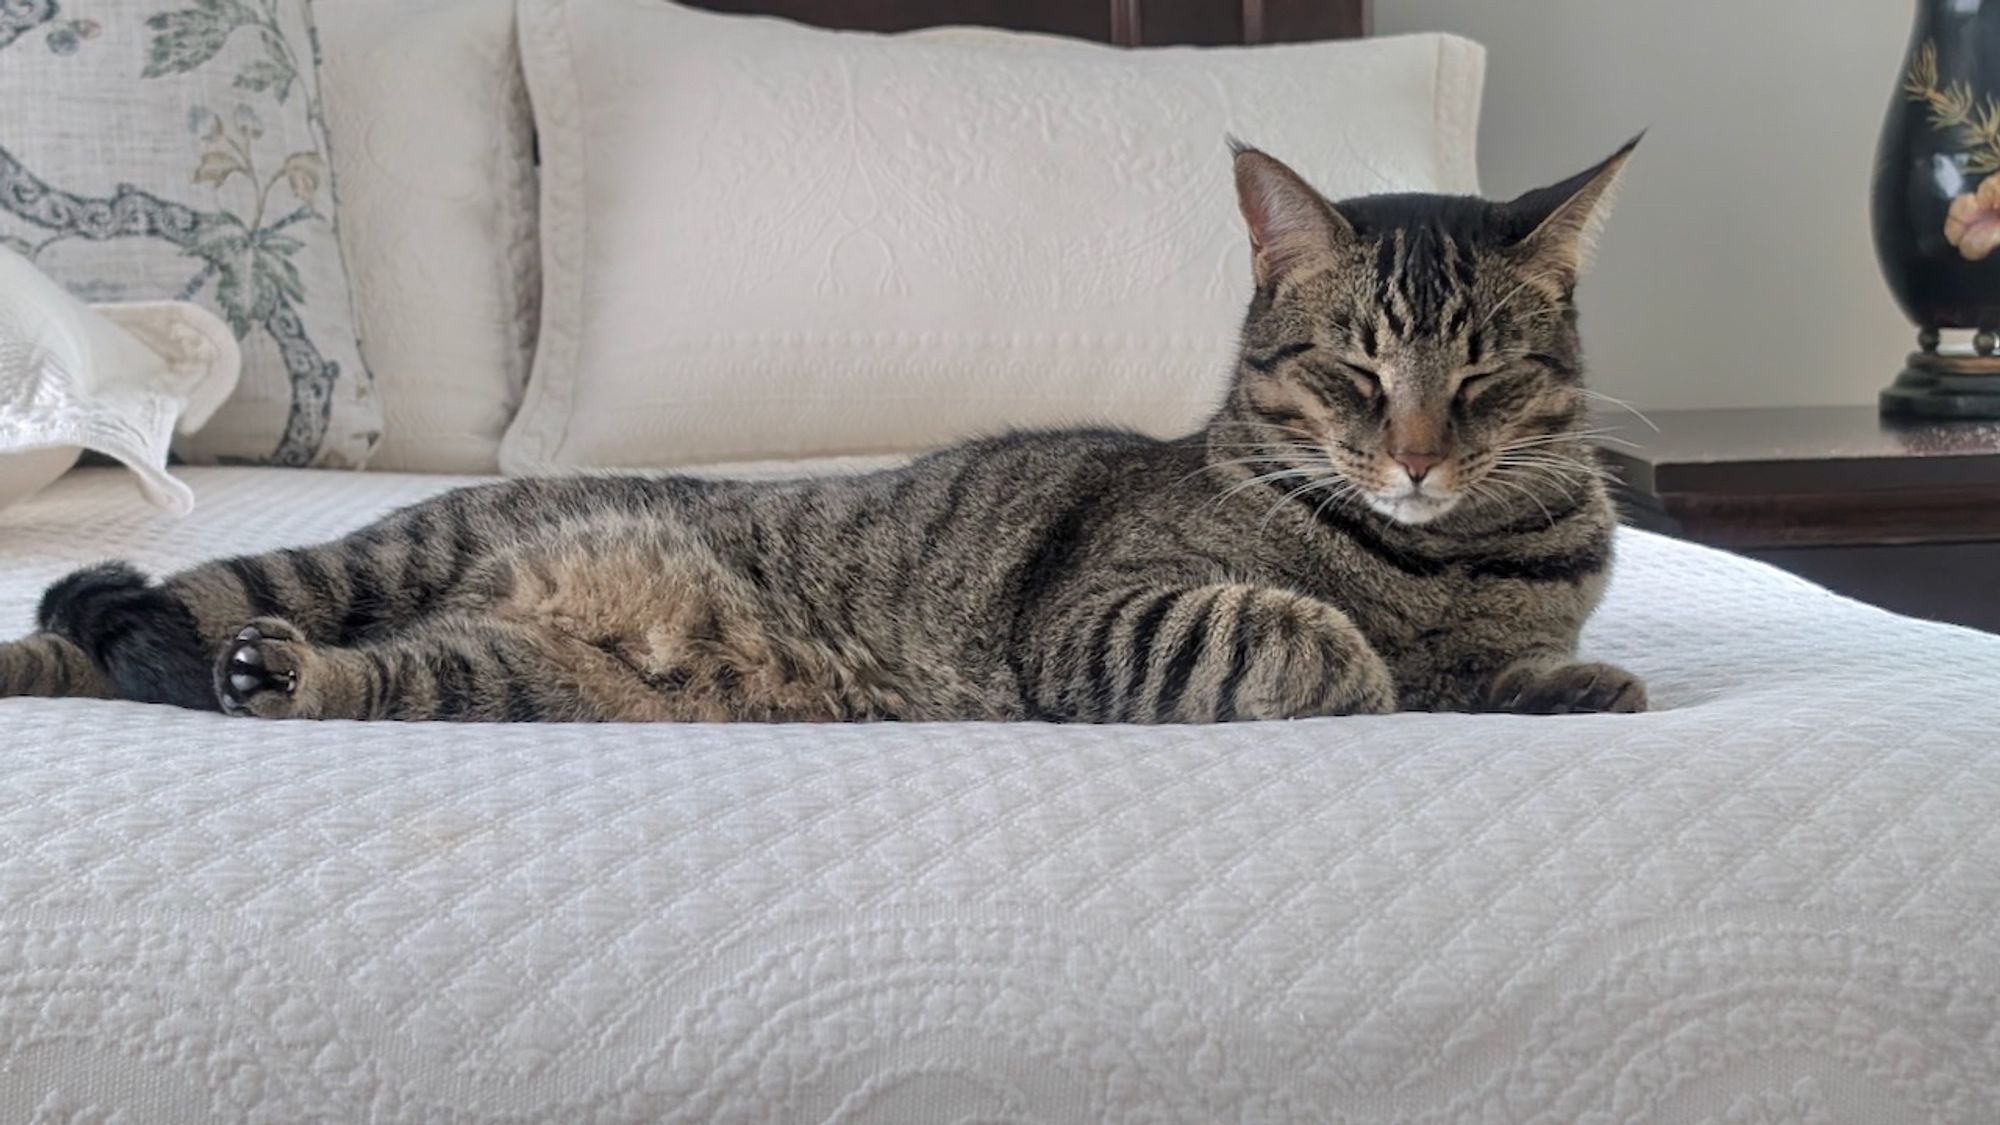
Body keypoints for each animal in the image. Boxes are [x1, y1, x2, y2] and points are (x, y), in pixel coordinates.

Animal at [3, 142, 1640, 716]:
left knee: (335, 677)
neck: (1440, 560)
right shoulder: (1099, 620)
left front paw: (1566, 684)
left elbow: (1516, 675)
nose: (1417, 454)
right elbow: (1306, 635)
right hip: (370, 556)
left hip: (494, 680)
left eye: (1482, 383)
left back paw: (275, 679)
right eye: (1357, 377)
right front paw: (1365, 656)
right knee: (120, 616)